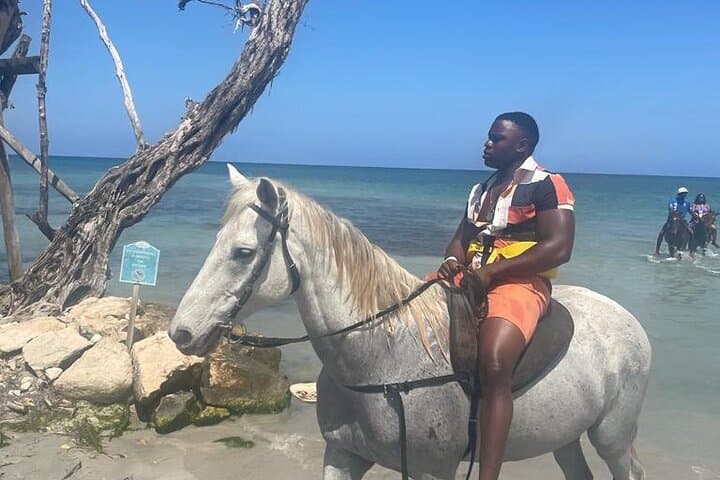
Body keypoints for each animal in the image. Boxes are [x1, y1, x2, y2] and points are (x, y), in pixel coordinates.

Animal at [169, 165, 651, 480]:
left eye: (243, 252)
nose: (181, 332)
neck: (383, 357)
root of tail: (627, 318)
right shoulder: (341, 455)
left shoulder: (430, 472)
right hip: (566, 437)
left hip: (611, 436)